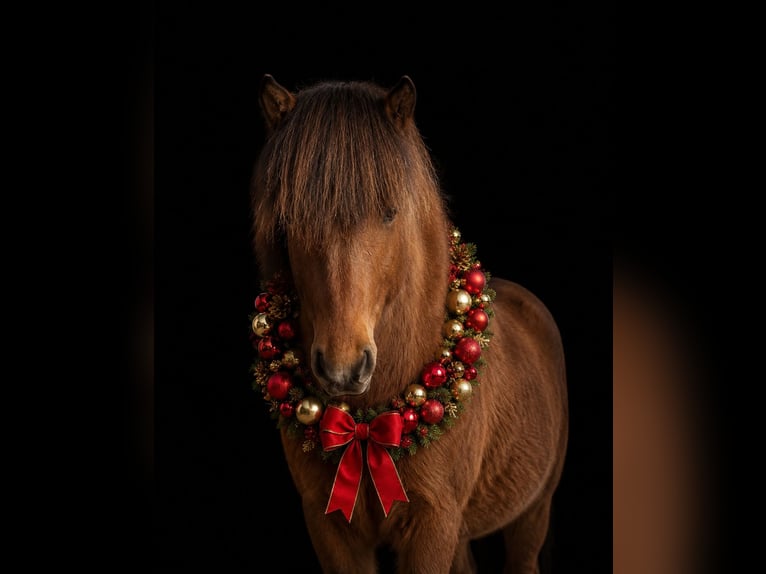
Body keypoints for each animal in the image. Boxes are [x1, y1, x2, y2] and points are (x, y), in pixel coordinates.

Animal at [249, 74, 568, 574]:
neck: (371, 420)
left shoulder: (433, 526)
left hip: (532, 513)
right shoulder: (330, 528)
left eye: (389, 212)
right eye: (290, 219)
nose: (343, 367)